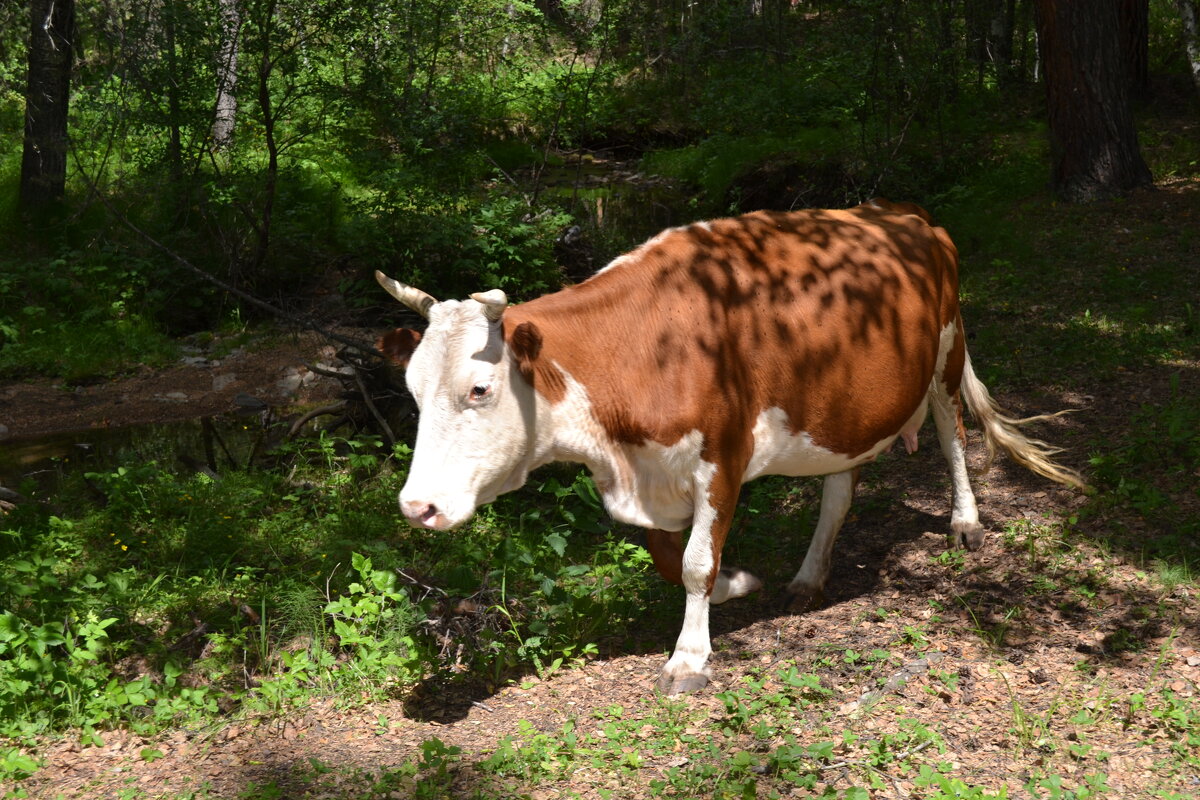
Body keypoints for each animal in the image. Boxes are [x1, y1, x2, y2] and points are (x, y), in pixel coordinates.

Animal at [374, 199, 1089, 695]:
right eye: (410, 390)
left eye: (480, 389)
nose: (416, 507)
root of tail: (907, 215)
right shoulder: (649, 473)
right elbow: (671, 557)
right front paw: (736, 586)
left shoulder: (724, 453)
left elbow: (695, 559)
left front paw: (689, 657)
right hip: (851, 407)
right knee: (840, 488)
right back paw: (808, 576)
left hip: (945, 354)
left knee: (953, 437)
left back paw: (965, 522)